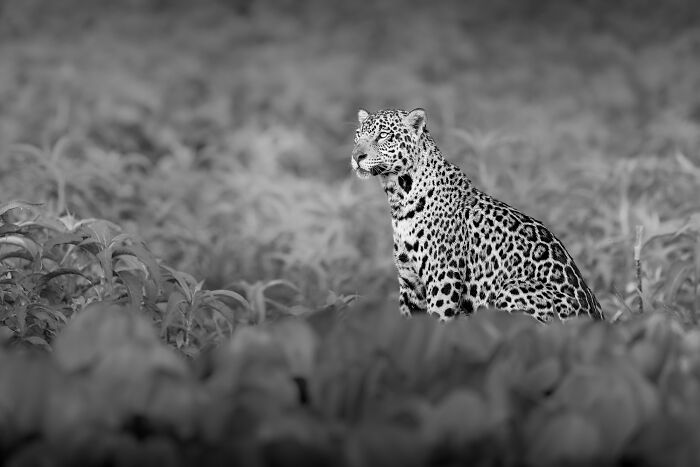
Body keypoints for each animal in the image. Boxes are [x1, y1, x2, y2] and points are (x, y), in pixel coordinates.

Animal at [350, 108, 603, 323]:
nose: (356, 156)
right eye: (357, 136)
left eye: (383, 136)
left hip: (511, 290)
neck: (399, 197)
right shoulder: (410, 283)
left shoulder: (443, 277)